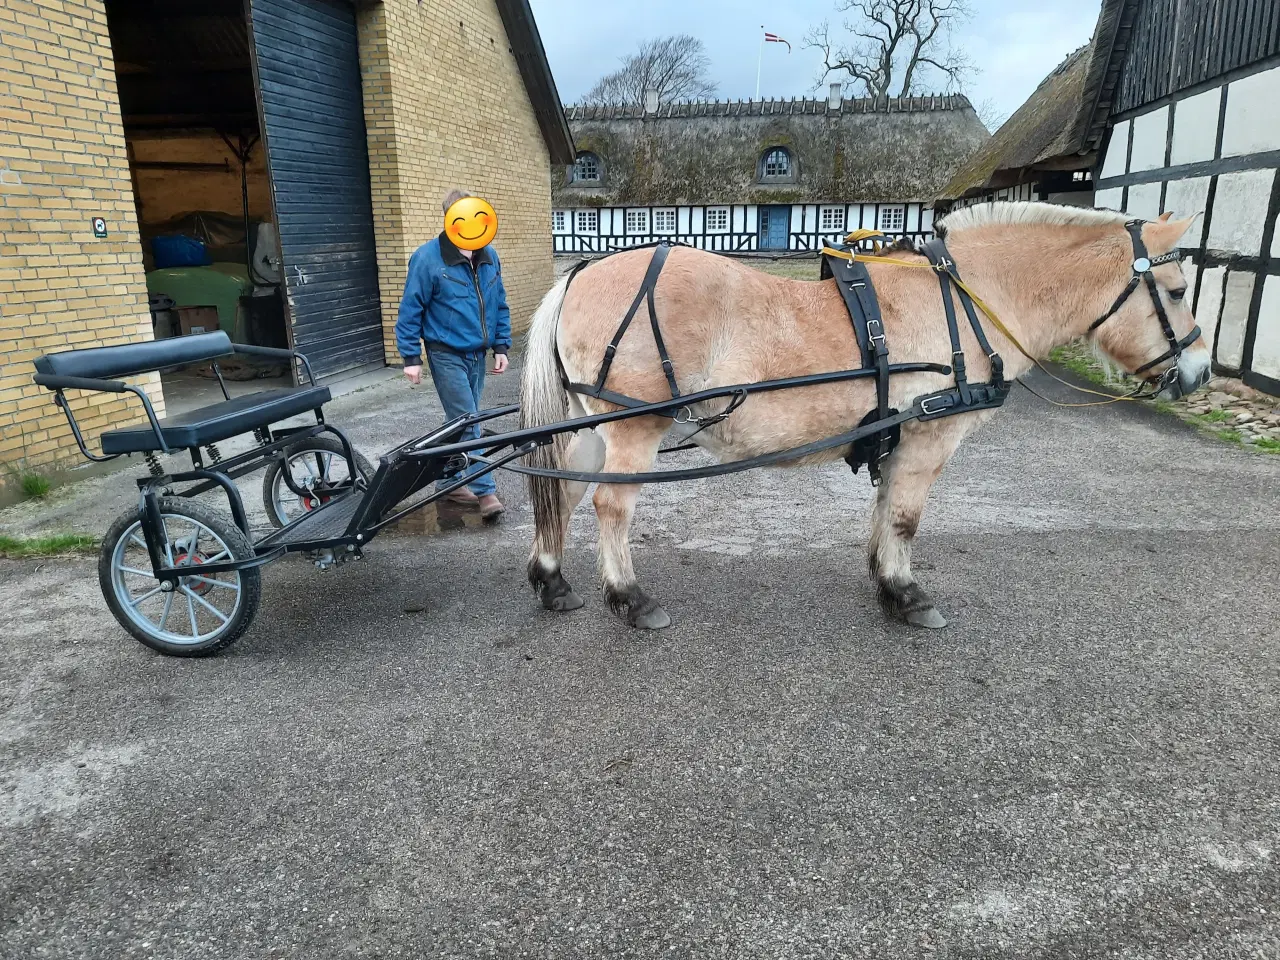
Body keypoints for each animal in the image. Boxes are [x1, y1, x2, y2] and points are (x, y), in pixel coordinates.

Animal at [517, 203, 1208, 632]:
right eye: (1176, 291)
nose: (1200, 372)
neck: (964, 301)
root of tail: (582, 271)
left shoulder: (896, 436)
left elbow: (884, 511)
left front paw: (883, 579)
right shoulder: (929, 437)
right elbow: (905, 518)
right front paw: (906, 595)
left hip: (589, 425)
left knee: (566, 494)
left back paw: (552, 580)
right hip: (632, 425)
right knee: (611, 506)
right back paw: (629, 598)